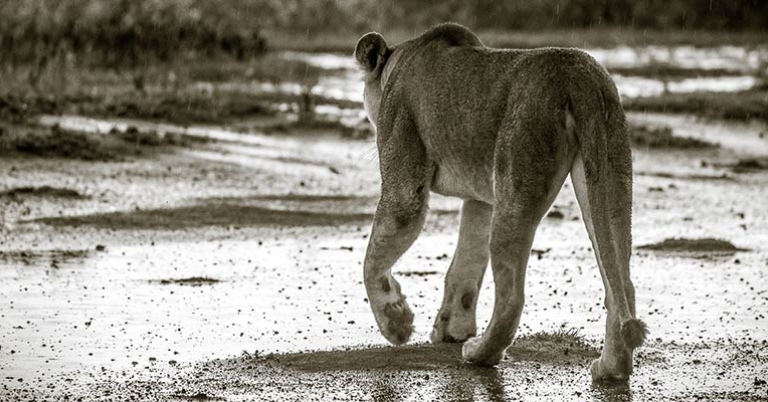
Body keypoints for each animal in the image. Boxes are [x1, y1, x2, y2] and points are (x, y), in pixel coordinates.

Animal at [354, 23, 647, 381]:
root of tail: (578, 74)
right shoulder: (482, 199)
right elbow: (465, 264)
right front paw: (452, 328)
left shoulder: (405, 186)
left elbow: (372, 260)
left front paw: (397, 323)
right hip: (608, 178)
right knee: (622, 281)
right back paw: (611, 368)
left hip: (517, 174)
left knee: (511, 298)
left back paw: (479, 354)